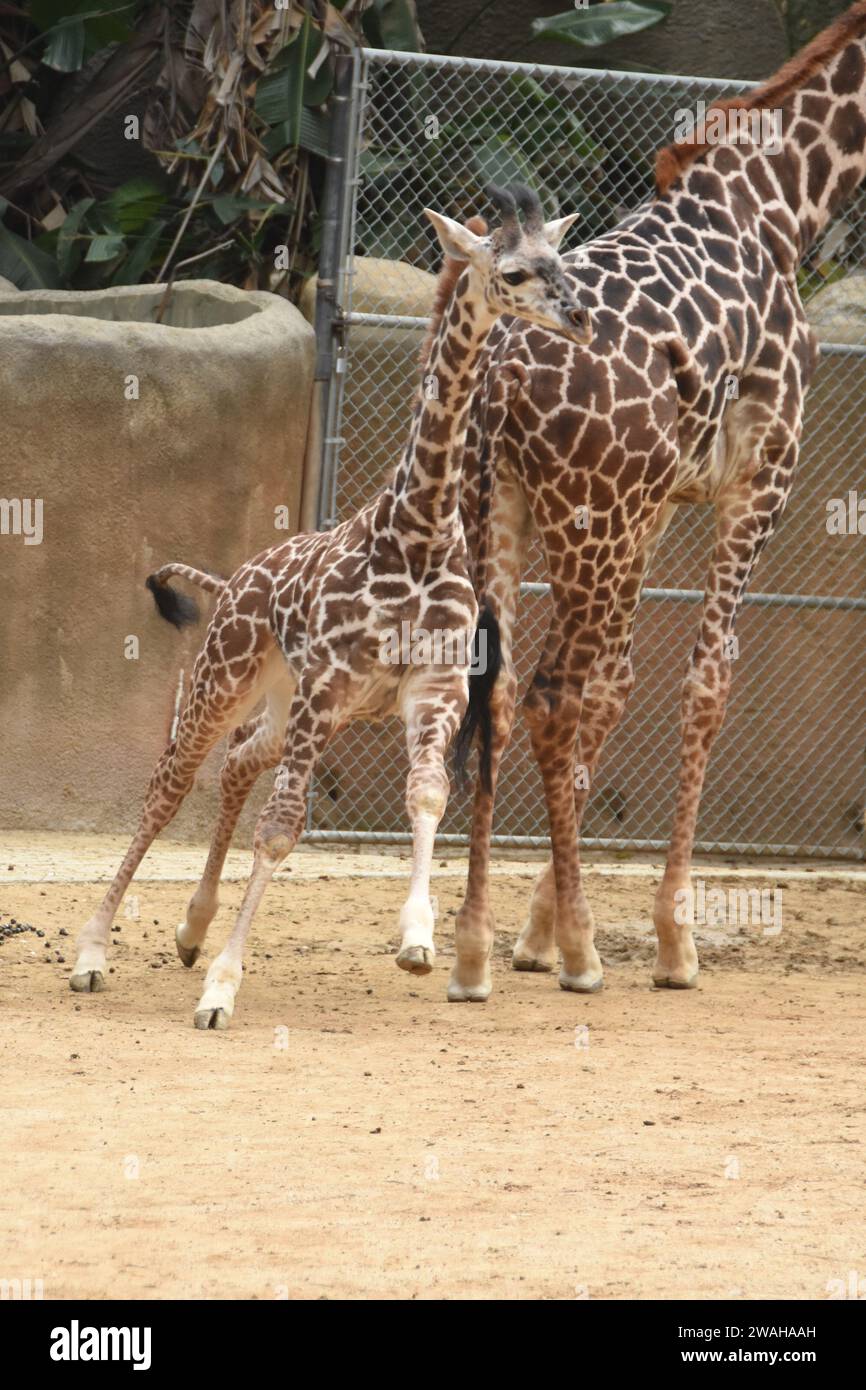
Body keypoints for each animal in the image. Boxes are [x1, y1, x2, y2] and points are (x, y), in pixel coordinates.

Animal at [69, 186, 591, 1029]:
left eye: (562, 262)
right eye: (513, 272)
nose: (578, 318)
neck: (417, 530)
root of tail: (232, 580)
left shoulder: (431, 688)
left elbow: (428, 795)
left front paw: (418, 939)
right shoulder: (330, 686)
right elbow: (282, 832)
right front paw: (221, 991)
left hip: (289, 703)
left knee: (239, 760)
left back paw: (191, 927)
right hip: (226, 678)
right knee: (166, 789)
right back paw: (91, 954)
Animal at [449, 2, 866, 1003]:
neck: (781, 203)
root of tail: (500, 377)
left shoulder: (661, 502)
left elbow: (619, 688)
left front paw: (537, 931)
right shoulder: (762, 475)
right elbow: (707, 680)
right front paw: (671, 942)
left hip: (507, 511)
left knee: (506, 687)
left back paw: (474, 948)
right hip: (585, 521)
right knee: (551, 693)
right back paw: (585, 956)